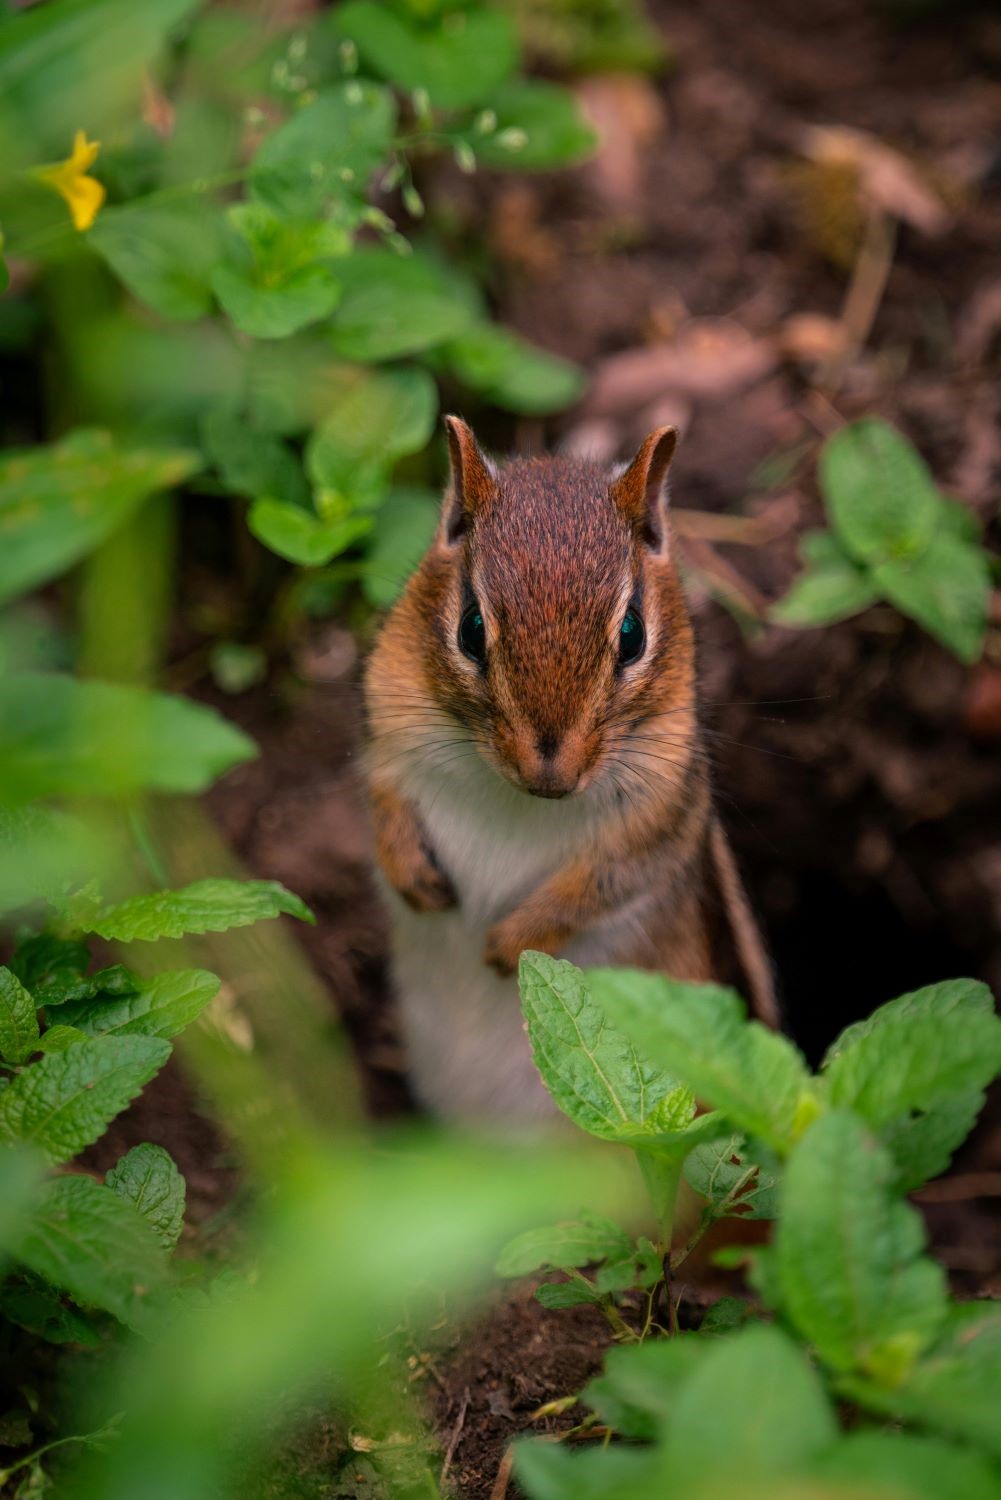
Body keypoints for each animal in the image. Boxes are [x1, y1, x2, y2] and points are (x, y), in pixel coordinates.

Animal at [364, 417, 778, 1121]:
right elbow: (382, 801)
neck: (514, 800)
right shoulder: (389, 735)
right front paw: (413, 876)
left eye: (633, 634)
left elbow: (603, 884)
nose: (550, 774)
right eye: (471, 629)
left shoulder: (661, 820)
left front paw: (512, 944)